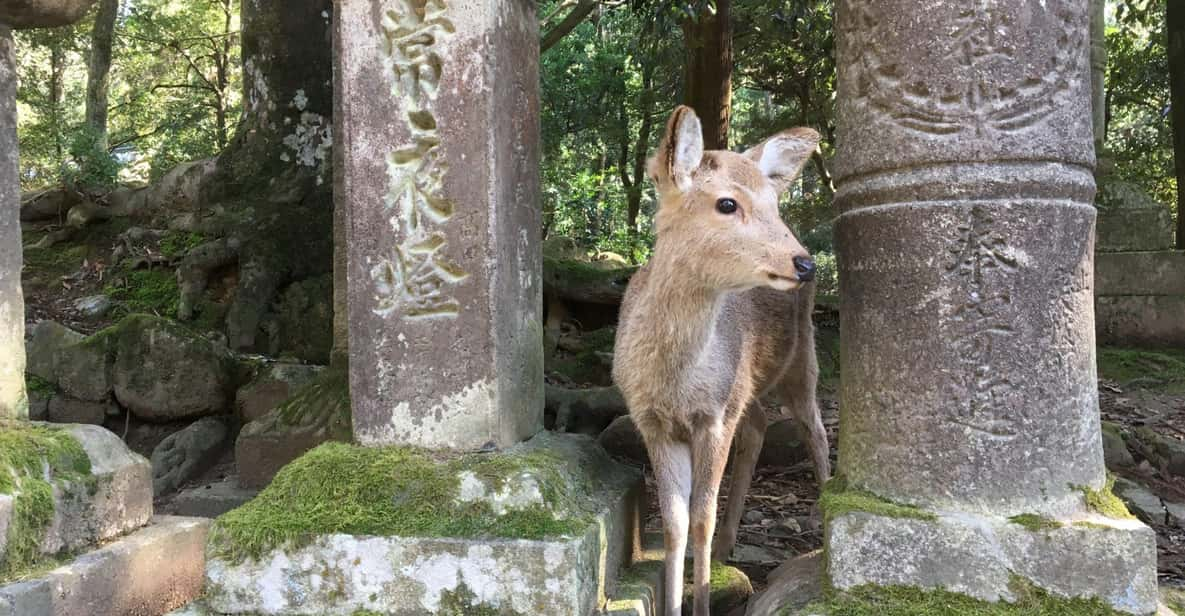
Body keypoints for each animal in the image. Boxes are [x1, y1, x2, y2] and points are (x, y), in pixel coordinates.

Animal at [616, 107, 829, 616]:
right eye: (727, 204)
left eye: (774, 204)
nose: (804, 263)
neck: (674, 383)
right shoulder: (651, 422)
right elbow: (674, 521)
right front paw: (674, 602)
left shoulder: (713, 416)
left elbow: (701, 517)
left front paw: (702, 599)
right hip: (745, 388)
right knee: (759, 425)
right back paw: (731, 542)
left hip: (800, 362)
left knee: (816, 428)